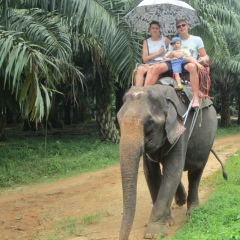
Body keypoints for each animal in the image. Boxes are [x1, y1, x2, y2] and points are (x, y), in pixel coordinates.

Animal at [117, 82, 228, 238]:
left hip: (209, 140)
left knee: (196, 172)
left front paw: (153, 234)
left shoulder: (182, 128)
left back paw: (193, 212)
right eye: (118, 120)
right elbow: (151, 172)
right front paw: (168, 221)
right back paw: (181, 200)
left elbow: (173, 170)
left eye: (149, 123)